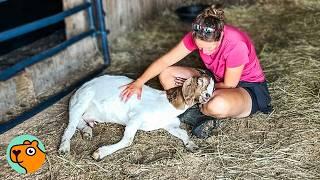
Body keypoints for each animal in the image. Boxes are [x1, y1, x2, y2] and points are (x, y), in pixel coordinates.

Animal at [59, 74, 215, 160]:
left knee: (80, 120)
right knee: (70, 126)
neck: (168, 105)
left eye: (212, 88)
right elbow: (128, 140)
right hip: (81, 101)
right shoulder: (135, 118)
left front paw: (192, 145)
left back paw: (86, 131)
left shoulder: (169, 125)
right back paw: (64, 148)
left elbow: (183, 132)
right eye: (201, 82)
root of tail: (79, 89)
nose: (208, 96)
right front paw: (99, 153)